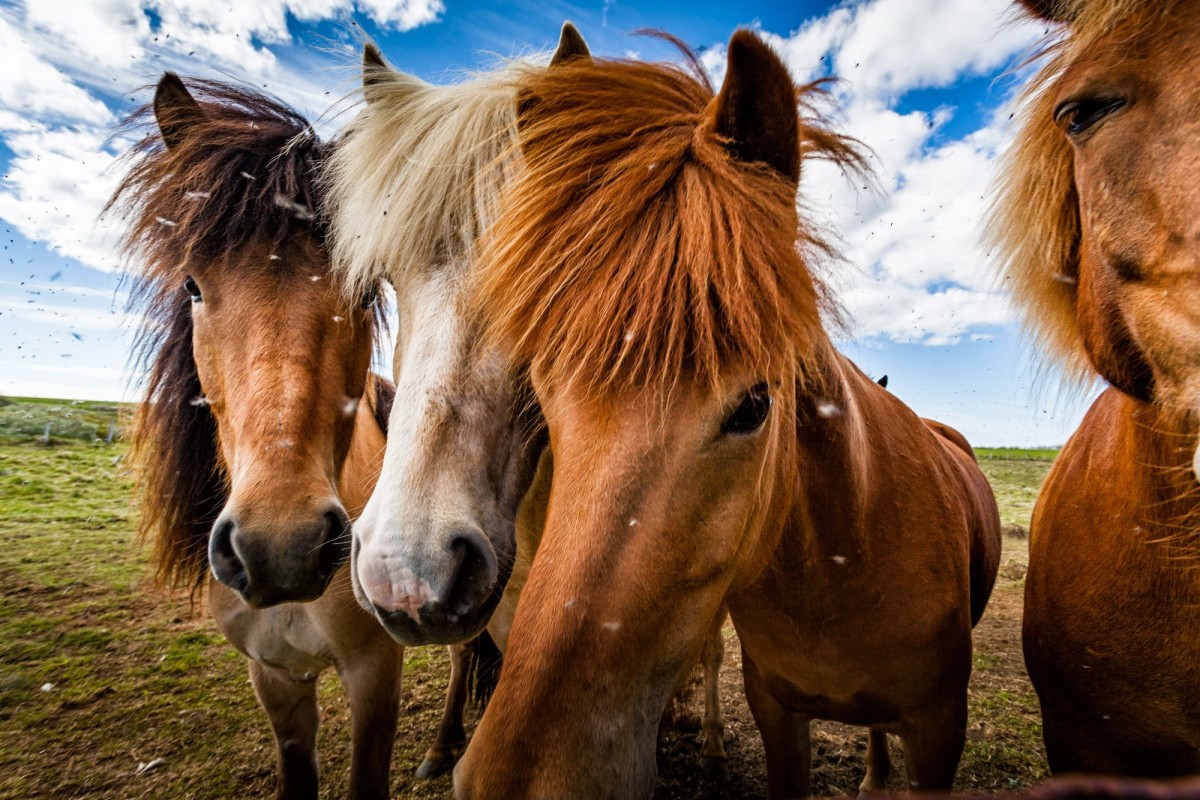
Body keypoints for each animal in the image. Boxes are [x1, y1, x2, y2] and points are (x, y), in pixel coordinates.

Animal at [458, 31, 1003, 800]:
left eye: (754, 405)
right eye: (541, 390)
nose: (523, 777)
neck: (843, 564)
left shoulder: (938, 730)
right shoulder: (776, 714)